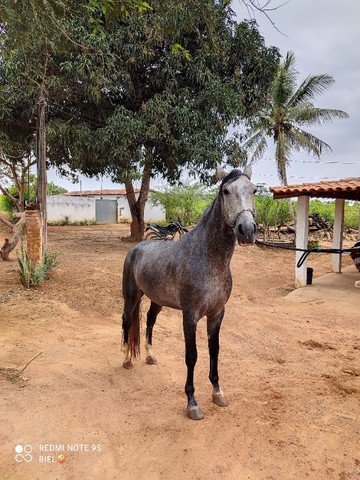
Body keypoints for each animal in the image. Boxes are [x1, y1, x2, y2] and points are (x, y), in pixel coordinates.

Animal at [122, 168, 258, 420]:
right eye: (226, 191)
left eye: (253, 190)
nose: (247, 230)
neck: (208, 259)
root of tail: (137, 248)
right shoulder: (190, 315)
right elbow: (192, 355)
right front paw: (192, 404)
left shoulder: (217, 313)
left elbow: (214, 350)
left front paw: (218, 393)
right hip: (131, 297)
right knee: (126, 322)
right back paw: (126, 358)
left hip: (157, 300)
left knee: (149, 321)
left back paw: (150, 356)